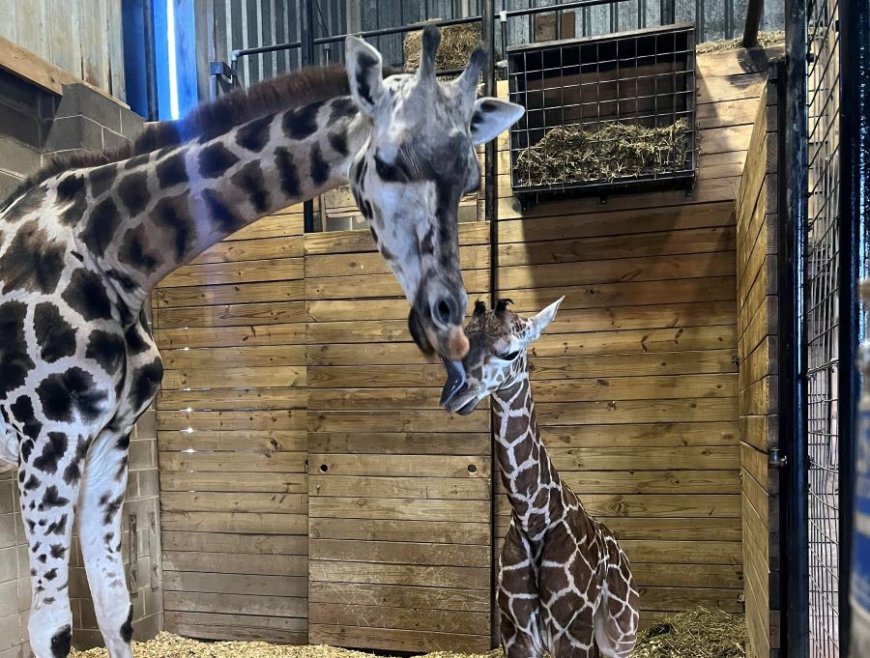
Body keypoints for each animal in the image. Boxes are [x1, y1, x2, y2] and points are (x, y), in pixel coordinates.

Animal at [0, 28, 520, 656]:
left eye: (471, 179)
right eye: (388, 163)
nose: (447, 315)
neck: (114, 256)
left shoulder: (108, 437)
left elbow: (115, 602)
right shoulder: (47, 439)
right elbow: (51, 625)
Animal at [442, 298, 640, 656]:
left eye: (510, 352)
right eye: (461, 343)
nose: (453, 395)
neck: (533, 517)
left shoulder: (574, 631)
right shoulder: (516, 633)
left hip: (621, 636)